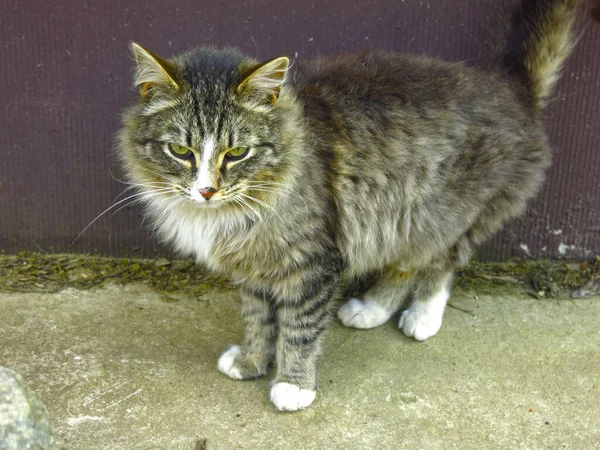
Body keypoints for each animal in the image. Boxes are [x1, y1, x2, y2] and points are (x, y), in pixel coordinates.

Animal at [117, 0, 580, 412]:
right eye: (181, 151)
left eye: (237, 153)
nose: (207, 190)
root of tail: (511, 88)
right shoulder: (252, 269)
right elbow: (257, 321)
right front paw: (252, 361)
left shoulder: (314, 264)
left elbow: (299, 329)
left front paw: (293, 384)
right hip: (400, 217)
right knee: (403, 267)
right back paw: (372, 309)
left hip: (446, 215)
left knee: (439, 264)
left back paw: (423, 315)